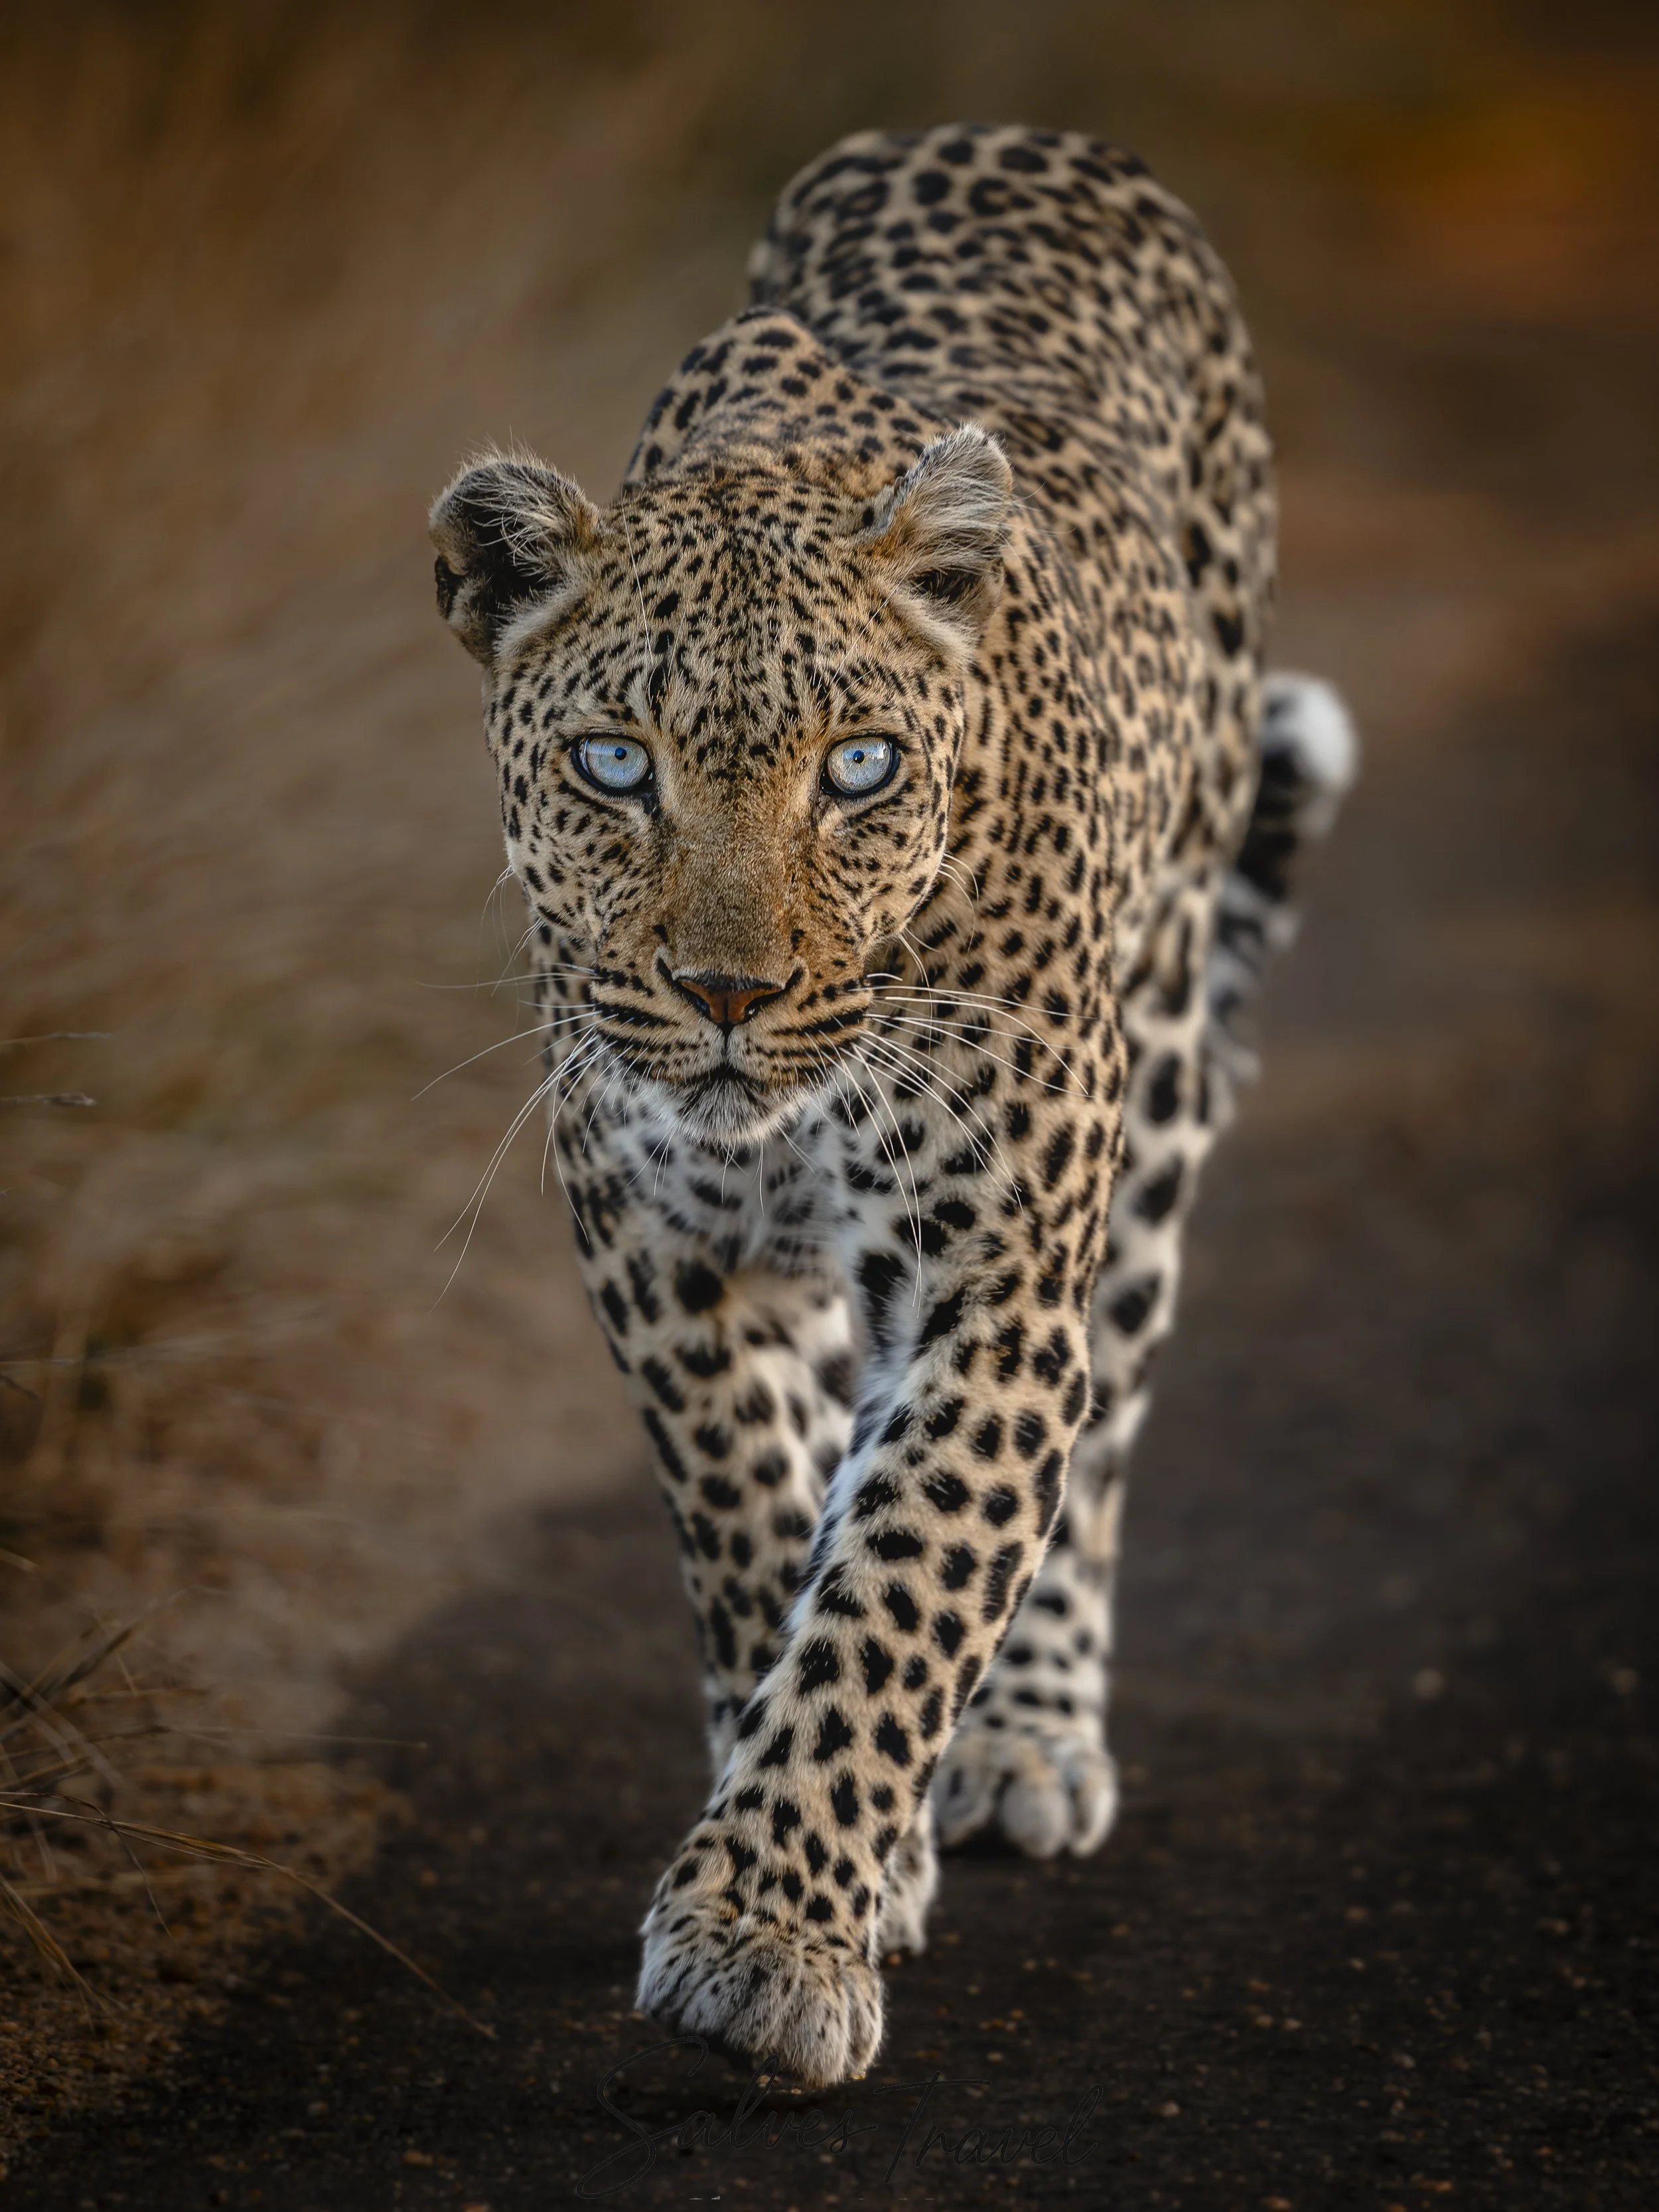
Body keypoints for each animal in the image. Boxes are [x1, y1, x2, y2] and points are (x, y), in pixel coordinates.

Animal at [428, 122, 1357, 2089]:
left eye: (859, 766)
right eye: (612, 764)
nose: (726, 998)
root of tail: (1029, 137)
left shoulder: (991, 1270)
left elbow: (906, 1572)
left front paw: (771, 1932)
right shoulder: (654, 1237)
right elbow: (754, 1523)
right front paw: (821, 1861)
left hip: (1153, 1091)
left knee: (1099, 1438)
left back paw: (1026, 1740)